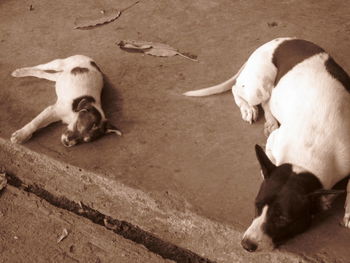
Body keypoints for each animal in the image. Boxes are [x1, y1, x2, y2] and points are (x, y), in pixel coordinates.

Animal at [183, 37, 350, 252]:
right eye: (256, 205)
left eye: (283, 219)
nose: (246, 244)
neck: (307, 159)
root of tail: (275, 41)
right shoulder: (274, 144)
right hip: (258, 87)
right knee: (239, 90)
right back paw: (249, 109)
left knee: (267, 101)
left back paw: (269, 120)